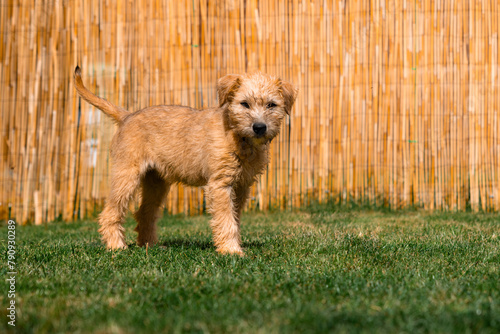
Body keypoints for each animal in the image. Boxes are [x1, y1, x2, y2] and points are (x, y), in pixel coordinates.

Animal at [72, 66, 294, 256]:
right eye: (244, 104)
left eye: (272, 105)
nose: (259, 127)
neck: (237, 136)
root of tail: (127, 115)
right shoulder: (220, 185)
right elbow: (225, 219)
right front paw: (231, 250)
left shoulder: (241, 187)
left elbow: (234, 218)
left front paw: (232, 245)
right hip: (126, 176)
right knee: (111, 211)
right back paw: (116, 245)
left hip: (156, 183)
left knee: (145, 213)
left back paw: (150, 245)